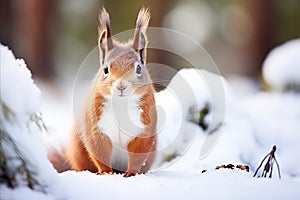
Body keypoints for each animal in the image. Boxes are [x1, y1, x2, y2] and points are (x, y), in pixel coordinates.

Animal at [48, 7, 157, 177]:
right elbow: (99, 150)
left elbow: (139, 153)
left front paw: (132, 172)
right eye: (105, 69)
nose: (121, 86)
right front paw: (106, 172)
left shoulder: (143, 127)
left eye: (139, 68)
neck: (121, 103)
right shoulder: (96, 127)